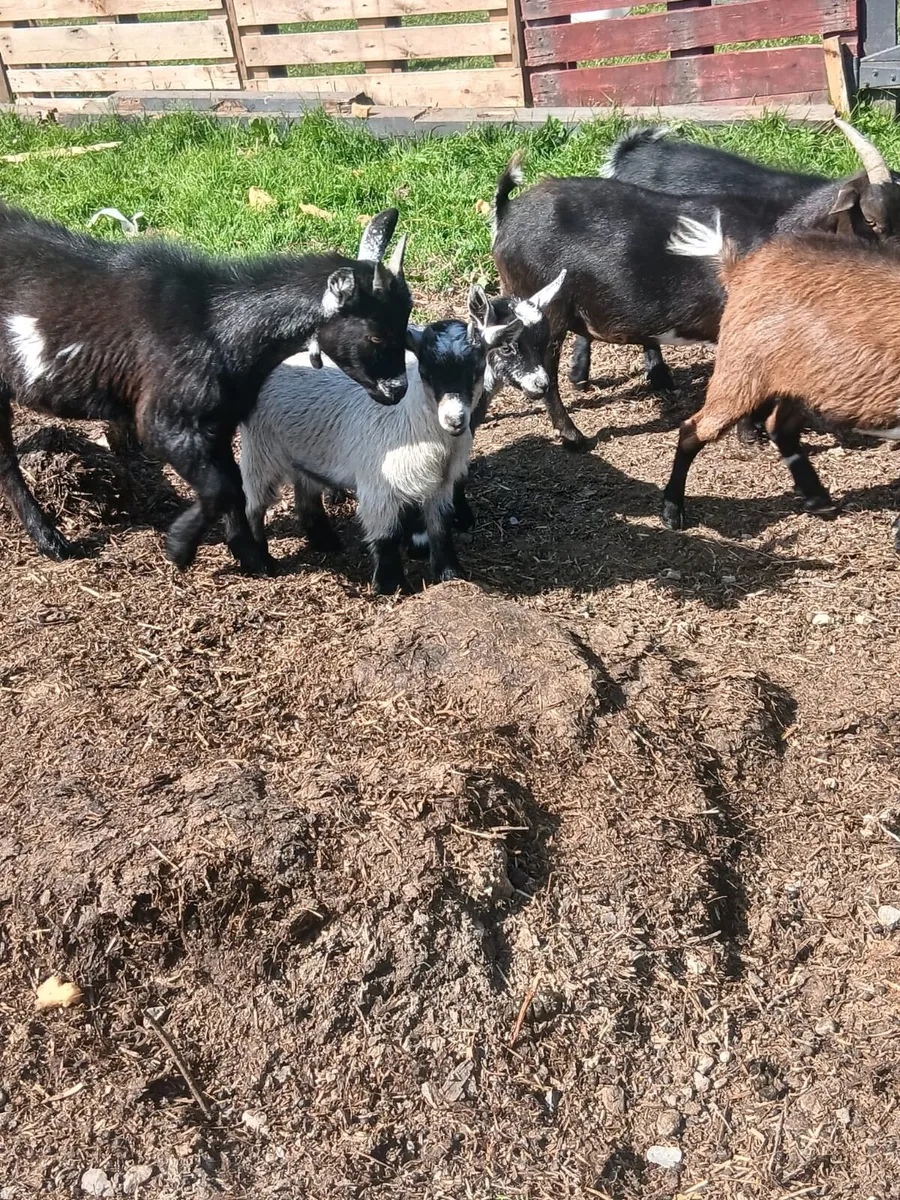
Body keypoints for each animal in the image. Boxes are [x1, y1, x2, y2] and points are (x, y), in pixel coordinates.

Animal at [0, 205, 411, 575]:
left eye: (405, 318)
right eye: (375, 335)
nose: (397, 390)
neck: (214, 323)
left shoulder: (219, 421)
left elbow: (233, 485)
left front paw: (253, 558)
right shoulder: (166, 421)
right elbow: (220, 488)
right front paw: (180, 547)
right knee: (6, 462)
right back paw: (51, 541)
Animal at [240, 289, 525, 594]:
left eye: (477, 369)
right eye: (427, 371)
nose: (455, 419)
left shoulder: (442, 484)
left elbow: (440, 527)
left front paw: (450, 573)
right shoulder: (379, 484)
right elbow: (386, 535)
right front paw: (392, 585)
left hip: (303, 449)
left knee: (306, 488)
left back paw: (324, 541)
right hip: (261, 449)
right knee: (255, 504)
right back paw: (261, 562)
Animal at [660, 216, 900, 549]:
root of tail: (741, 267)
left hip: (798, 381)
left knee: (780, 427)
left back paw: (817, 498)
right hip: (741, 370)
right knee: (693, 429)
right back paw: (672, 512)